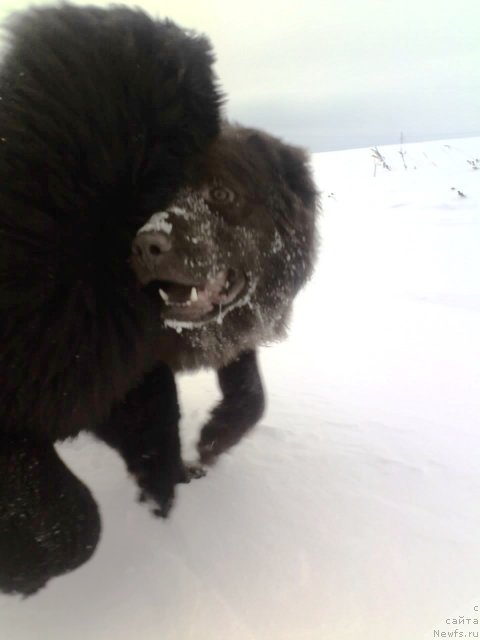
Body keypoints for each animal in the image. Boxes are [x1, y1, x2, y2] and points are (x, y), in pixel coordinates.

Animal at [0, 3, 318, 596]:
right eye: (161, 189)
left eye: (223, 193)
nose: (149, 242)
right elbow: (77, 517)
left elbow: (247, 393)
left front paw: (210, 443)